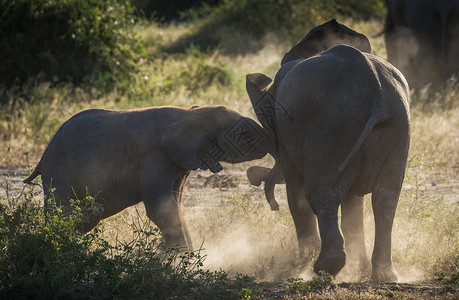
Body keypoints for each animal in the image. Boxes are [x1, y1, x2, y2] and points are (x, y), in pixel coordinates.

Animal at [24, 105, 274, 248]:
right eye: (243, 135)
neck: (190, 113)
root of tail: (43, 156)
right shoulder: (155, 157)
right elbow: (160, 210)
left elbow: (175, 206)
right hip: (60, 169)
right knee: (64, 214)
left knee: (83, 218)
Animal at [246, 19, 412, 282]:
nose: (273, 206)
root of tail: (379, 100)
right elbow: (354, 202)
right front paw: (358, 269)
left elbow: (298, 196)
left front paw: (301, 265)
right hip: (395, 129)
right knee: (385, 198)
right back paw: (385, 276)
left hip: (333, 128)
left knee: (320, 194)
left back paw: (326, 267)